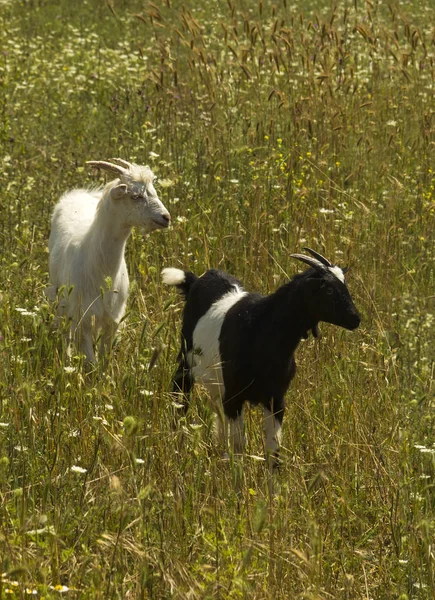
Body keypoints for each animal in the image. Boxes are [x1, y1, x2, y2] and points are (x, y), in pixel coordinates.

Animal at [47, 158, 170, 360]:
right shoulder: (83, 317)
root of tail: (78, 193)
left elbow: (105, 359)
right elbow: (91, 361)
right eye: (135, 196)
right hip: (57, 294)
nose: (166, 217)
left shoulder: (113, 318)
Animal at [163, 248, 362, 468]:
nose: (356, 318)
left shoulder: (275, 400)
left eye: (344, 284)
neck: (260, 329)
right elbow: (239, 447)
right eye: (328, 290)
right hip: (186, 363)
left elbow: (273, 451)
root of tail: (197, 280)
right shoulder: (234, 397)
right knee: (180, 398)